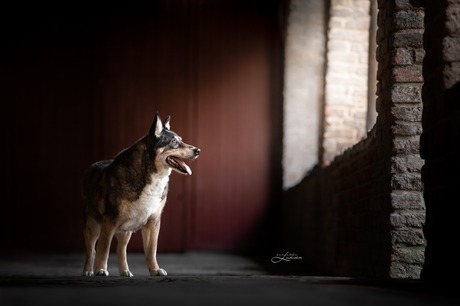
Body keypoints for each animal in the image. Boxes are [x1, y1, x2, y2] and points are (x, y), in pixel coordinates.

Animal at [82, 113, 200, 278]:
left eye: (181, 140)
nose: (198, 150)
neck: (151, 174)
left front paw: (155, 270)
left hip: (126, 230)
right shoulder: (110, 220)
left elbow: (151, 251)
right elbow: (103, 249)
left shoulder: (153, 222)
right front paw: (101, 269)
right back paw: (88, 271)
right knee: (92, 250)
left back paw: (125, 271)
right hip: (93, 225)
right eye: (174, 142)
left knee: (121, 249)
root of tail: (91, 167)